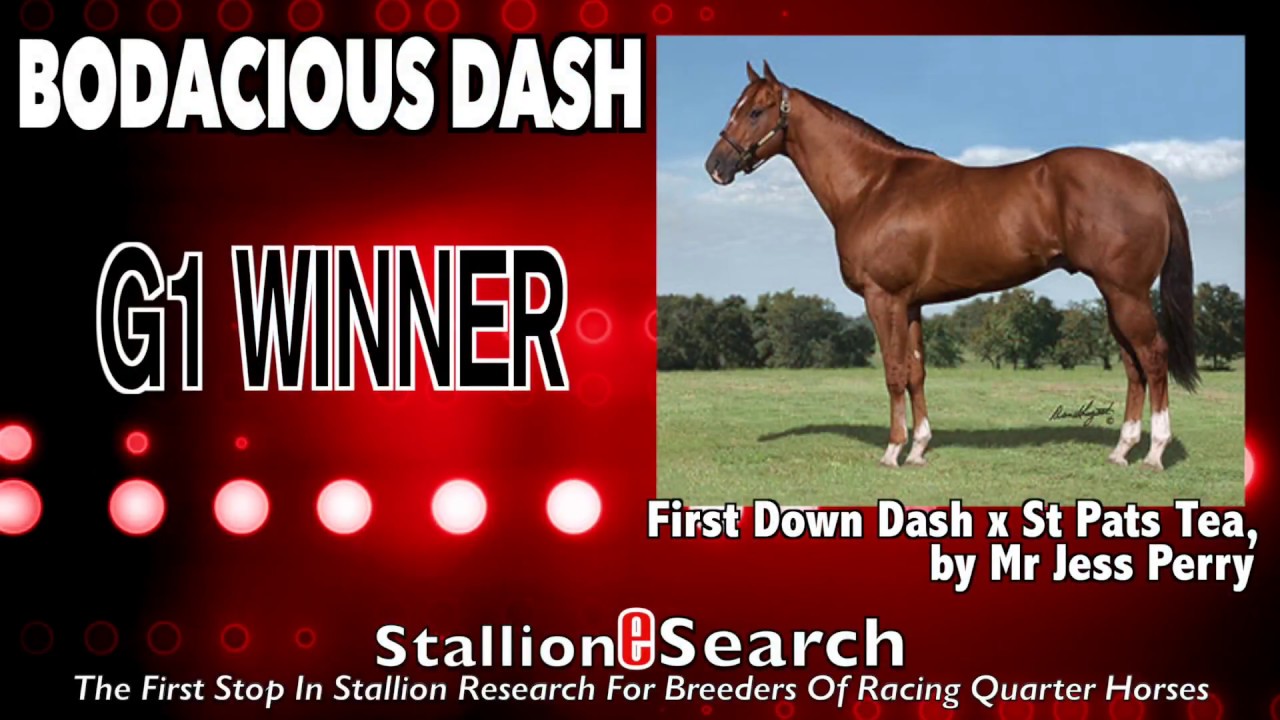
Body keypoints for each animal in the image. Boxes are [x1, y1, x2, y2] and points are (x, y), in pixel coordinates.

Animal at [705, 61, 1198, 470]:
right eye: (735, 108)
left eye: (756, 111)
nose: (716, 166)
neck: (873, 187)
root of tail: (1152, 177)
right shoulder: (911, 304)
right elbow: (917, 372)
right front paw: (919, 448)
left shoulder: (883, 298)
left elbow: (893, 372)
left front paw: (892, 451)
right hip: (1115, 297)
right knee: (1133, 365)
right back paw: (1121, 450)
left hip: (1126, 293)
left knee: (1153, 357)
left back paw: (1154, 454)